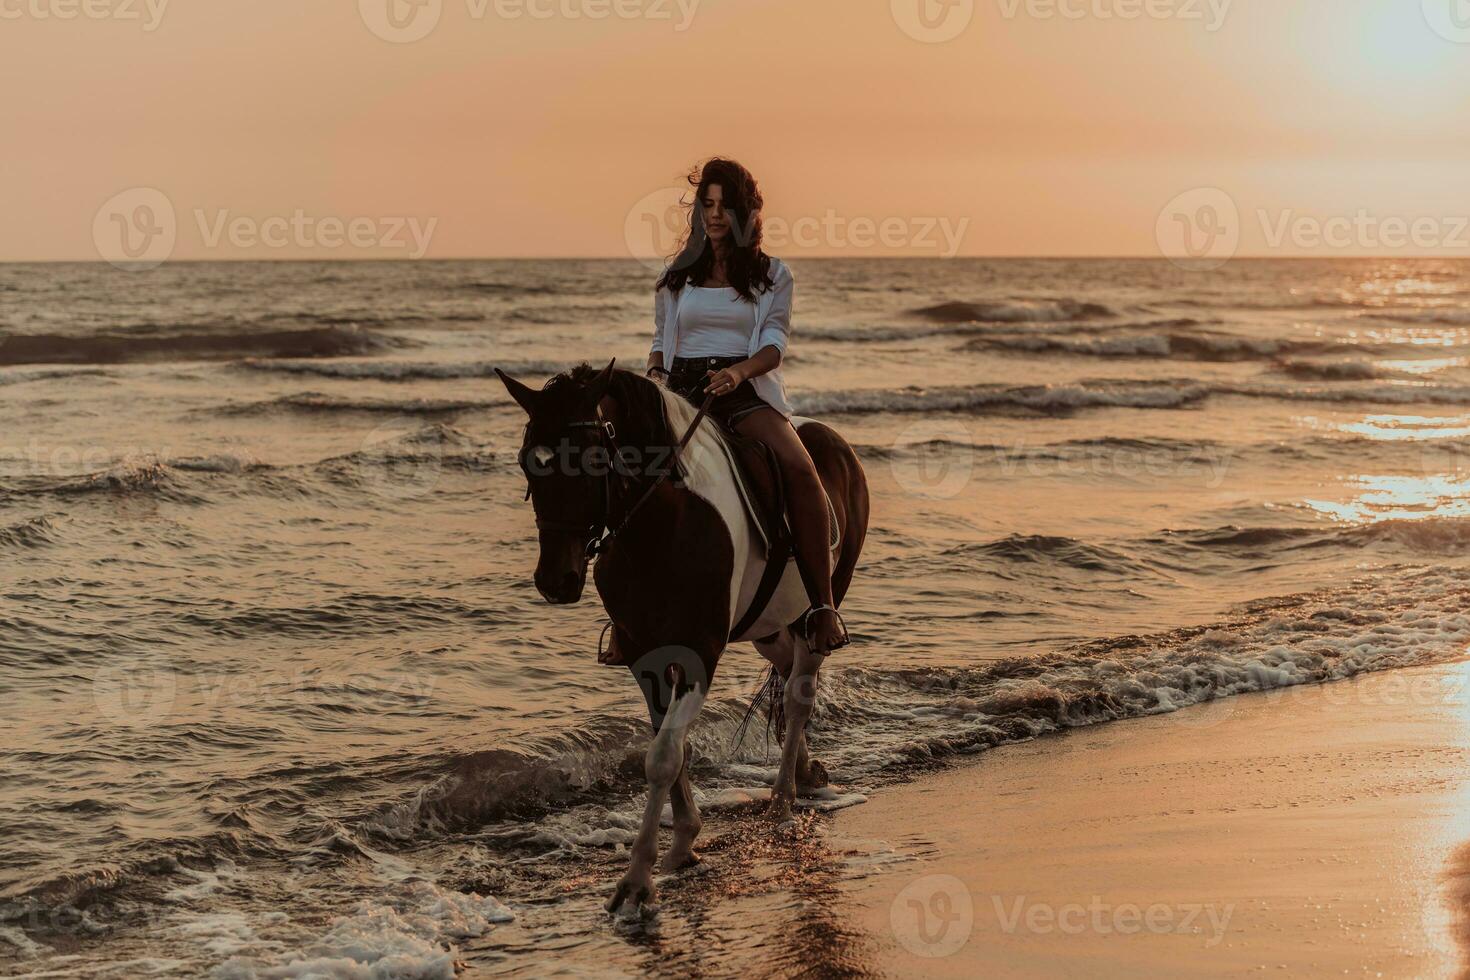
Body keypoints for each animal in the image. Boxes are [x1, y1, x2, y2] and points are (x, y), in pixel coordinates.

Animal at [496, 362, 858, 922]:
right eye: (527, 463)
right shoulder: (645, 656)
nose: (555, 581)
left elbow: (664, 756)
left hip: (815, 610)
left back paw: (782, 797)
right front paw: (684, 842)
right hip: (766, 624)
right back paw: (805, 770)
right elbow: (671, 747)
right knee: (782, 675)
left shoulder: (698, 654)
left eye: (593, 459)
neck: (663, 523)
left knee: (800, 695)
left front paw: (637, 882)